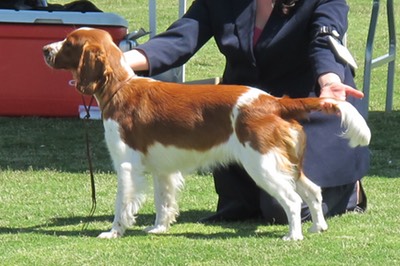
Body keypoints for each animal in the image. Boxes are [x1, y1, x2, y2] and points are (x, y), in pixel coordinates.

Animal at [42, 28, 370, 240]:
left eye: (69, 43)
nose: (45, 50)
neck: (120, 87)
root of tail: (274, 102)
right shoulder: (163, 169)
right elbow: (164, 202)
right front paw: (159, 228)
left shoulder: (125, 164)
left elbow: (123, 203)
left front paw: (113, 232)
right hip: (288, 162)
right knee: (313, 190)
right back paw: (317, 228)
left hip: (262, 165)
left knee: (290, 200)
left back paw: (294, 236)